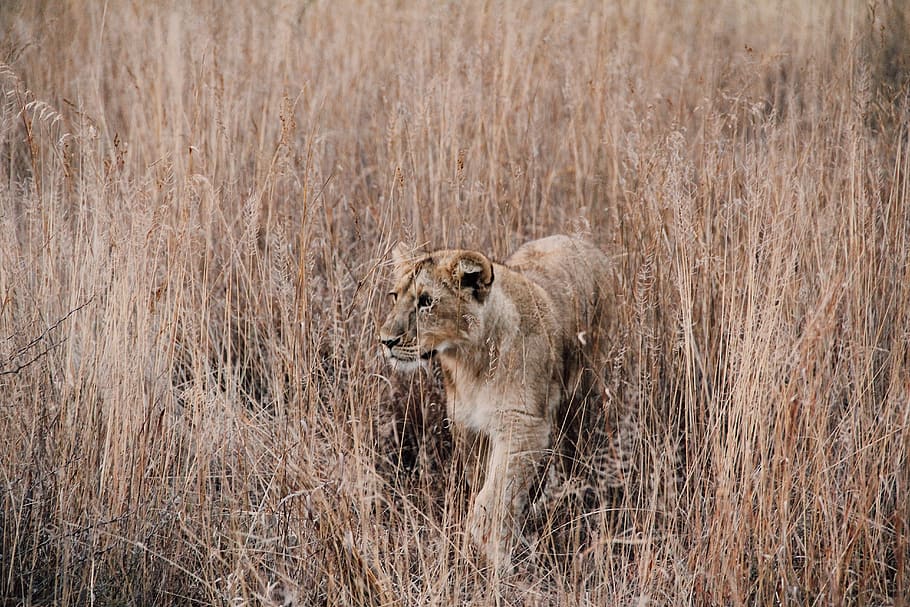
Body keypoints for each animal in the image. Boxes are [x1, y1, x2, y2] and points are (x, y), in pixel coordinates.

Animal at [378, 235, 612, 567]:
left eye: (426, 301)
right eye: (394, 296)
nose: (386, 341)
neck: (469, 361)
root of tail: (575, 237)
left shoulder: (524, 426)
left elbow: (496, 492)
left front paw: (491, 546)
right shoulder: (466, 426)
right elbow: (482, 481)